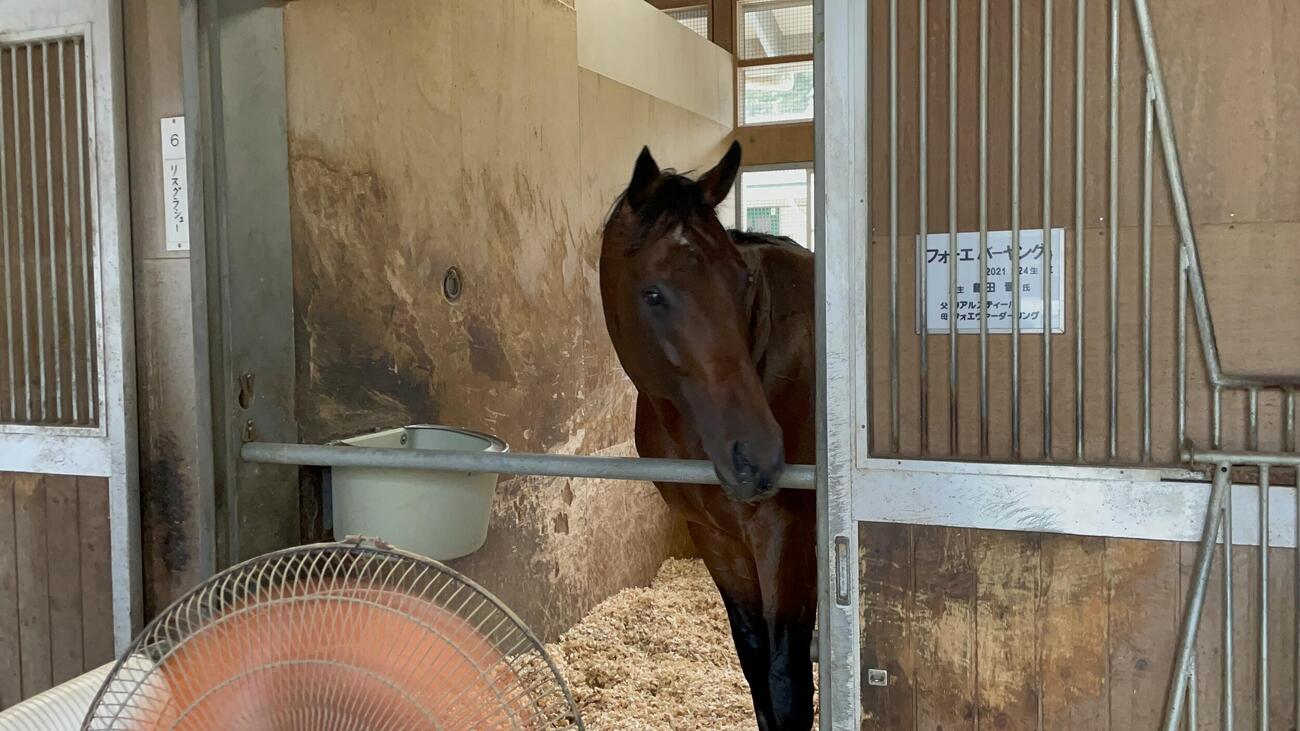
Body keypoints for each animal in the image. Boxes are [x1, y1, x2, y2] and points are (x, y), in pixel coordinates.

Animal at [599, 141, 816, 731]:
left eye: (743, 281)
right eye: (653, 293)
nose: (758, 457)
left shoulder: (787, 532)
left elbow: (787, 684)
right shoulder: (715, 537)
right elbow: (756, 670)